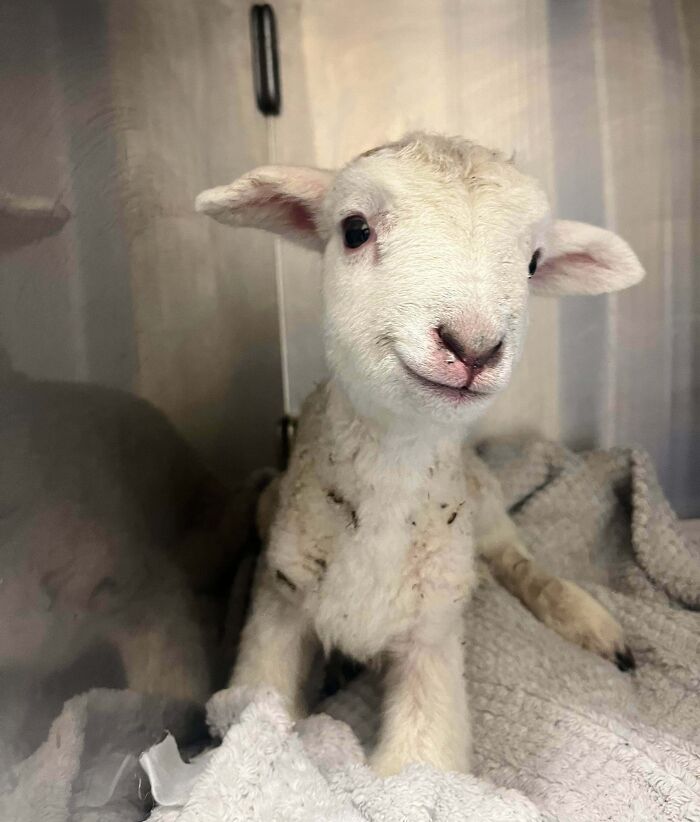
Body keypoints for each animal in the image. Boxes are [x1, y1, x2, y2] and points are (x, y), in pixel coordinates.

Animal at [196, 132, 645, 776]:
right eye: (354, 229)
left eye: (533, 263)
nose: (473, 346)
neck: (395, 460)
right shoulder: (278, 606)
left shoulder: (432, 635)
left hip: (484, 506)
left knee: (516, 561)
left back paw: (591, 622)